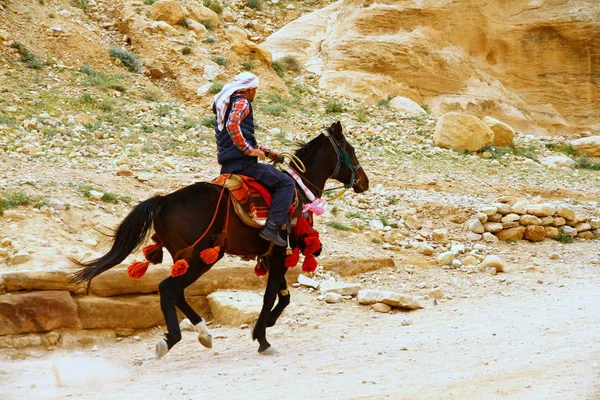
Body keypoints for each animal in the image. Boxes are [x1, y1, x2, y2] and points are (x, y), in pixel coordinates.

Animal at [72, 121, 368, 356]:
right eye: (351, 149)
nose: (364, 182)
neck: (298, 186)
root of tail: (164, 201)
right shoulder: (279, 254)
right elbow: (271, 296)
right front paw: (262, 337)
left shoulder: (272, 256)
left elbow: (283, 296)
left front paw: (264, 326)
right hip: (201, 258)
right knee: (168, 289)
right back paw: (171, 339)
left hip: (186, 257)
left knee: (176, 292)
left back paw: (204, 334)